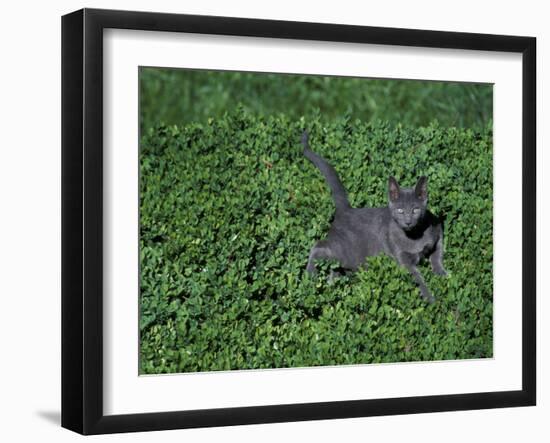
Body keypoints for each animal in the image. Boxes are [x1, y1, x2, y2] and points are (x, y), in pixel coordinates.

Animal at [302, 130, 448, 304]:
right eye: (400, 210)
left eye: (415, 210)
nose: (408, 222)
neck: (415, 235)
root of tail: (346, 210)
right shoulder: (402, 257)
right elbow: (417, 278)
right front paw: (430, 298)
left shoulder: (437, 231)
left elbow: (437, 254)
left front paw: (442, 274)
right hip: (345, 252)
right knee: (319, 246)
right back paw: (310, 275)